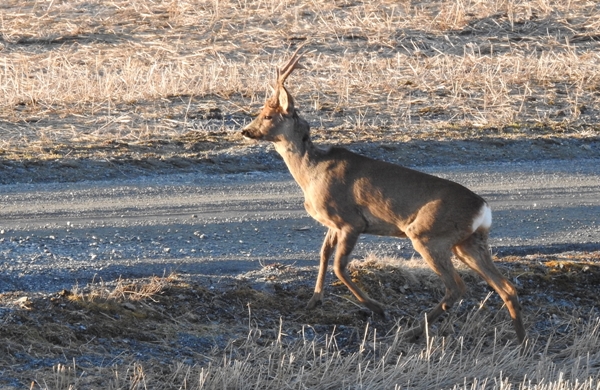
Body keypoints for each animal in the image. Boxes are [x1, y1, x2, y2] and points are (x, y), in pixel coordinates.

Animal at [243, 47, 524, 342]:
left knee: (457, 287)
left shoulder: (351, 221)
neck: (311, 171)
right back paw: (521, 341)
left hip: (428, 235)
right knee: (506, 288)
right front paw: (314, 300)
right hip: (467, 242)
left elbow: (339, 266)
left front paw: (377, 308)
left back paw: (413, 331)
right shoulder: (333, 224)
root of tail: (483, 209)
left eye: (267, 115)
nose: (245, 130)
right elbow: (323, 255)